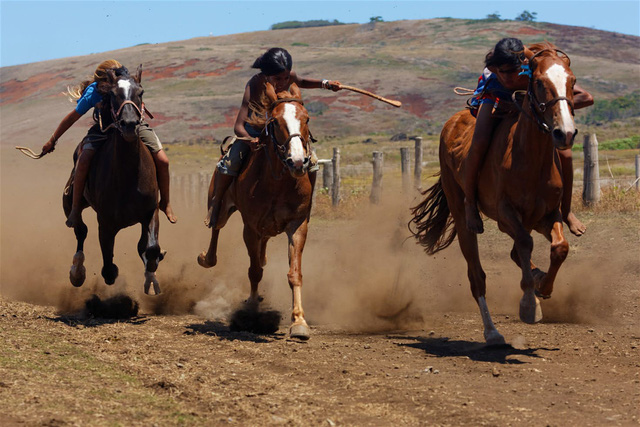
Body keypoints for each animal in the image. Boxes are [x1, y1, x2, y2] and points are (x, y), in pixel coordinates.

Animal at [65, 67, 164, 296]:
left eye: (141, 92)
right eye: (111, 94)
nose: (129, 124)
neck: (128, 177)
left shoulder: (150, 211)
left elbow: (149, 248)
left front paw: (152, 277)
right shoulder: (106, 222)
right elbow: (108, 268)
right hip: (70, 201)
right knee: (80, 229)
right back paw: (77, 272)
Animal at [196, 82, 314, 340]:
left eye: (306, 118)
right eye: (275, 122)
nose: (297, 162)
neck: (277, 182)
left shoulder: (297, 225)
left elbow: (295, 273)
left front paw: (299, 322)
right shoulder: (249, 227)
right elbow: (254, 272)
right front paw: (250, 311)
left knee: (262, 251)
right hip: (223, 209)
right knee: (216, 228)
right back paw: (207, 258)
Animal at [412, 43, 576, 344]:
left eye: (572, 81)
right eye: (539, 82)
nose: (565, 133)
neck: (530, 160)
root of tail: (452, 123)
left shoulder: (548, 215)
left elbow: (560, 248)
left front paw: (543, 286)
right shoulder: (505, 215)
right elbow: (524, 243)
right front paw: (529, 305)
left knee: (516, 254)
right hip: (462, 216)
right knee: (477, 276)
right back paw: (492, 332)